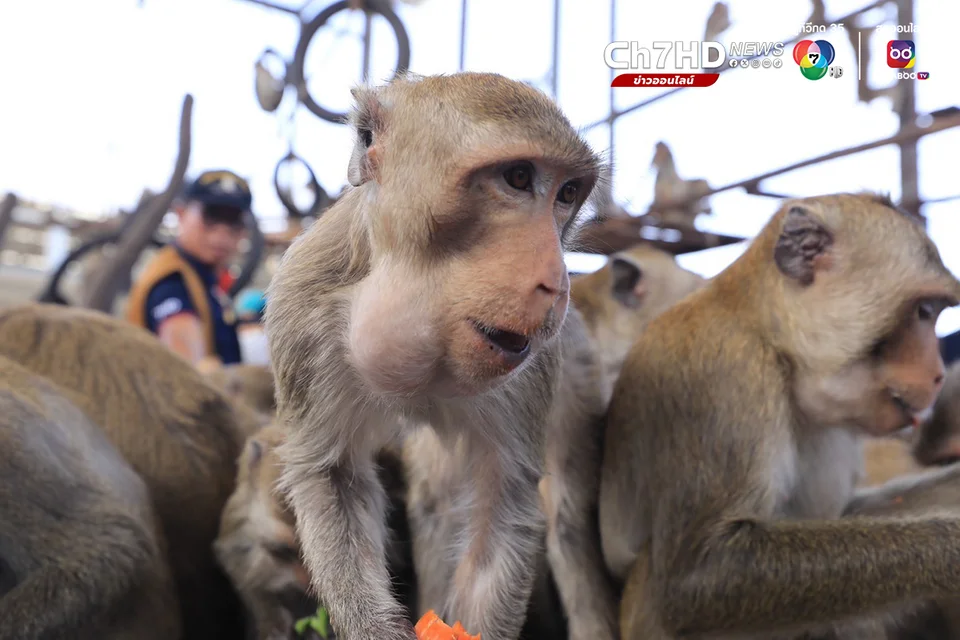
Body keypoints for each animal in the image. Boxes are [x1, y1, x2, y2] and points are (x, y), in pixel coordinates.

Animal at [266, 71, 604, 640]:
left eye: (567, 193)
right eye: (517, 178)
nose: (556, 284)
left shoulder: (532, 362)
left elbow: (503, 504)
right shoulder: (301, 310)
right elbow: (332, 475)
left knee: (564, 518)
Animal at [604, 194, 960, 640]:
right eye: (925, 310)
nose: (939, 374)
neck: (775, 343)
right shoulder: (728, 371)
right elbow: (698, 574)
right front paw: (954, 546)